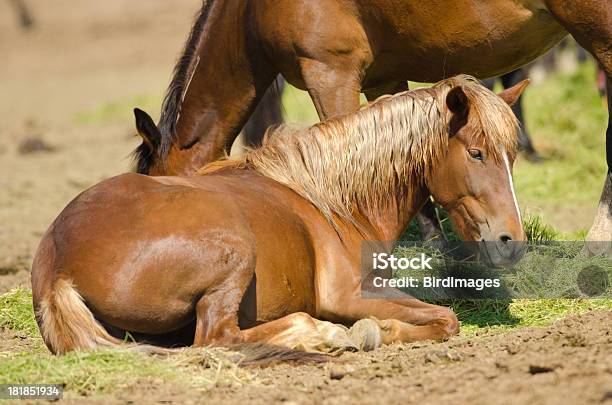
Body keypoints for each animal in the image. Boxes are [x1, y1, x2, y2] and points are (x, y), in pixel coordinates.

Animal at [31, 76, 524, 354]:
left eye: (512, 155)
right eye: (477, 153)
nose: (511, 243)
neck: (335, 201)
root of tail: (56, 265)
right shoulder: (351, 295)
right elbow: (445, 319)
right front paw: (373, 331)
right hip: (233, 251)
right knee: (217, 338)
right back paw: (325, 335)